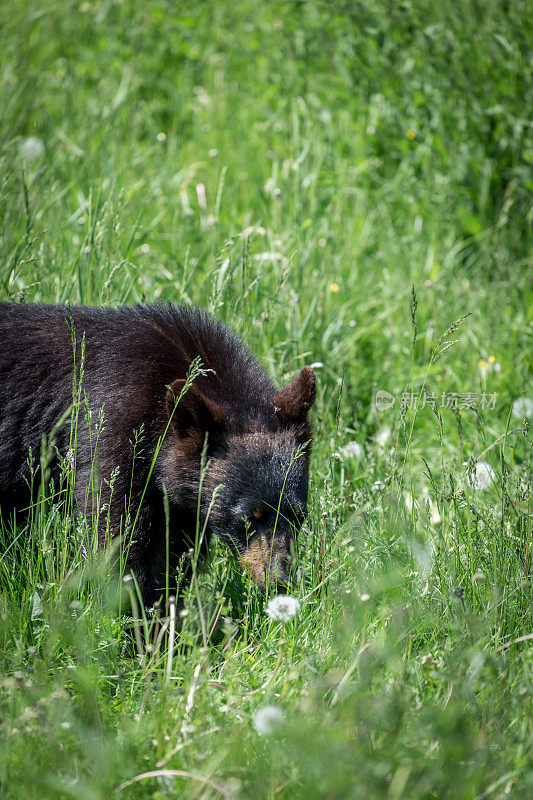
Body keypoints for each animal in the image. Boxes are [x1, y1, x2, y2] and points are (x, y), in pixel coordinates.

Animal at [0, 304, 316, 604]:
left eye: (298, 516)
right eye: (248, 518)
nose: (280, 582)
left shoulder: (182, 501)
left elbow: (176, 553)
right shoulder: (115, 433)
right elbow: (121, 536)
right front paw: (134, 611)